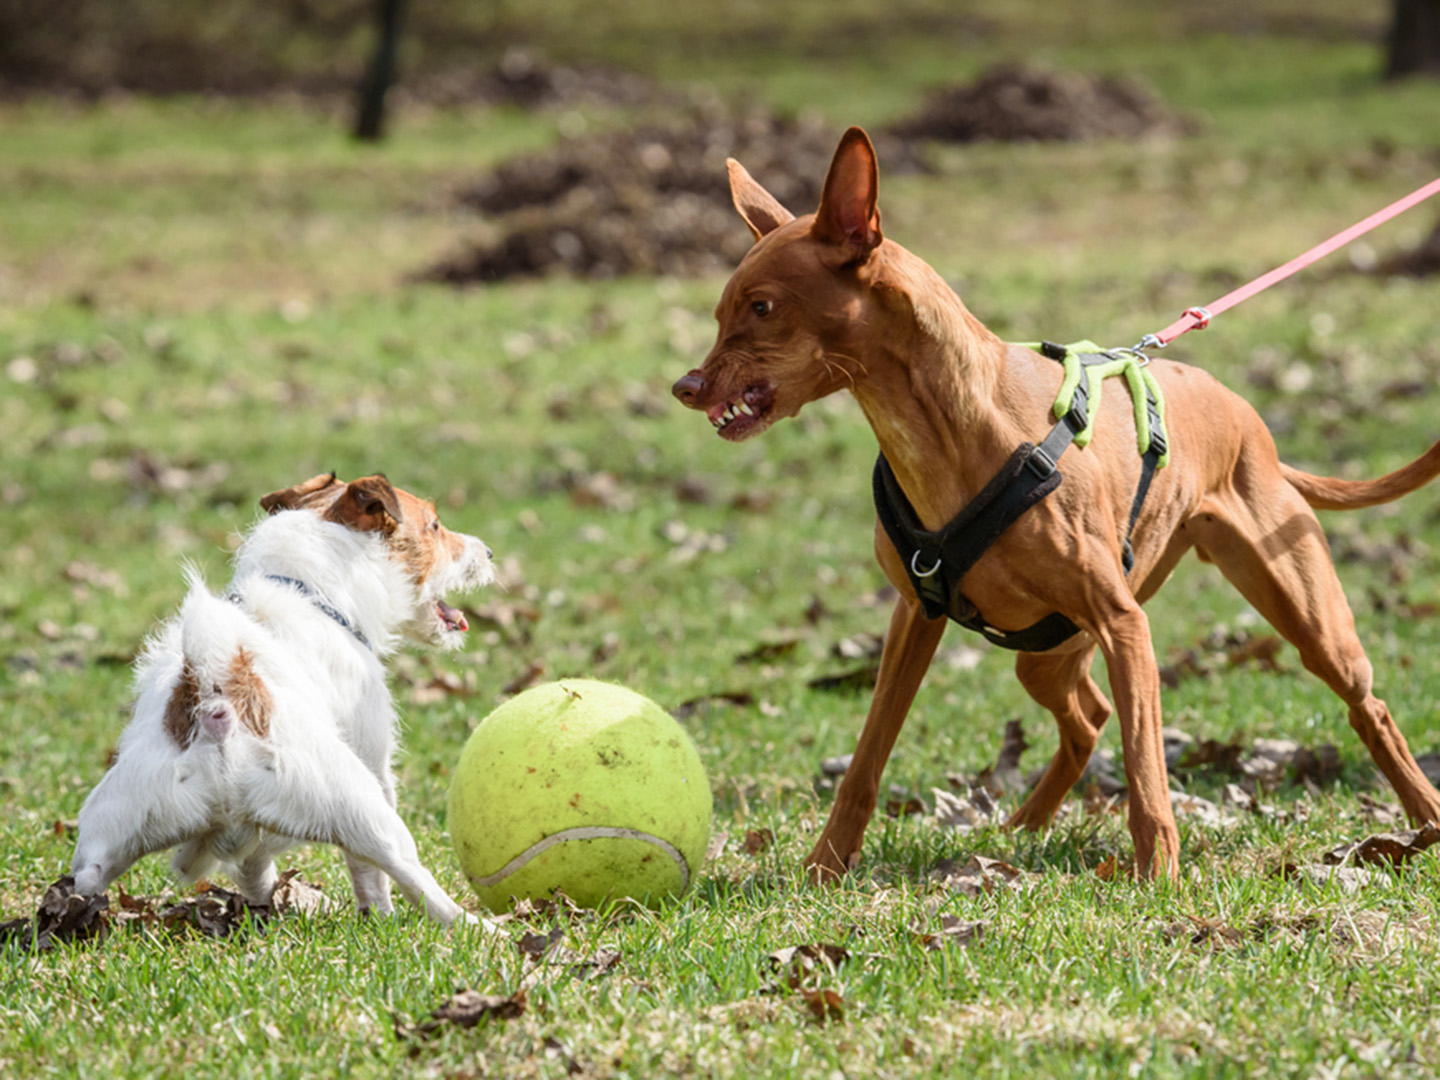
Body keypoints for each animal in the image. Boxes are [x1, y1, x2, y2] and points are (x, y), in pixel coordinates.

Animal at [71, 472, 495, 933]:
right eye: (434, 526)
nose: (489, 551)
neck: (310, 592)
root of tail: (220, 708)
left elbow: (253, 864)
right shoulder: (374, 754)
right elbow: (368, 875)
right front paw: (378, 916)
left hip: (110, 828)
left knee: (86, 879)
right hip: (363, 810)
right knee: (414, 880)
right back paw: (484, 930)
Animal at [671, 126, 1440, 881]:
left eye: (763, 307)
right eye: (719, 312)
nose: (686, 386)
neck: (949, 430)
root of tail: (1250, 421)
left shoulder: (1125, 625)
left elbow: (1146, 766)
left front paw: (1159, 877)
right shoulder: (915, 617)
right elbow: (867, 759)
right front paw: (825, 866)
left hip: (1304, 617)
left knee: (1367, 708)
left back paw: (1423, 816)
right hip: (1046, 652)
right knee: (1088, 716)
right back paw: (1023, 825)